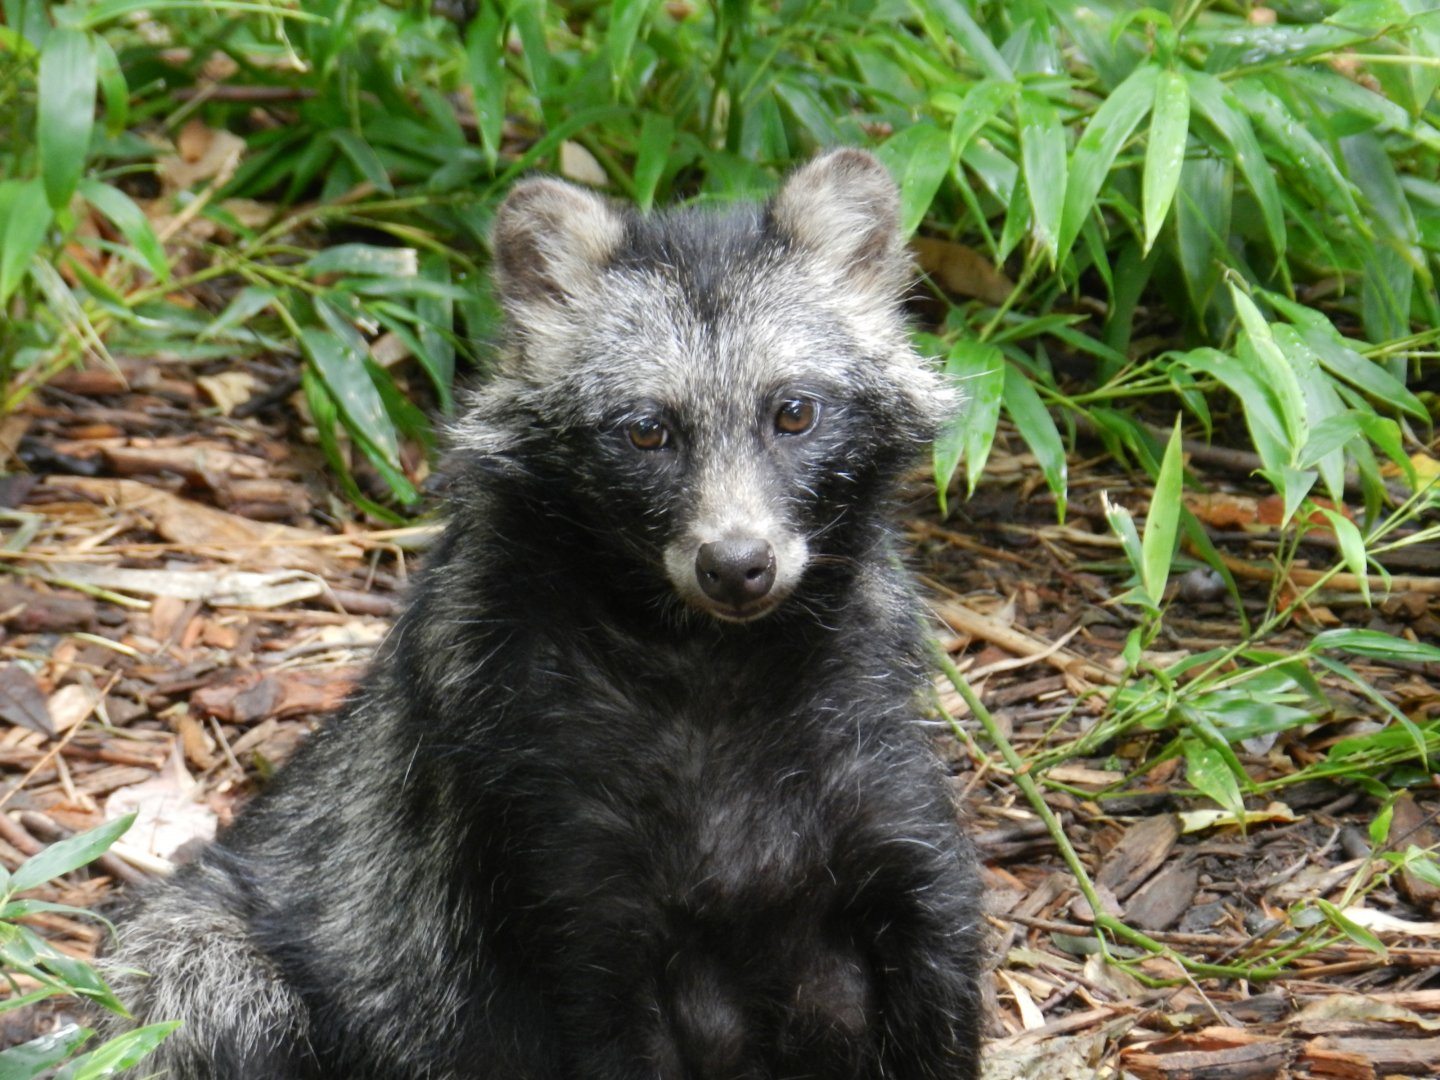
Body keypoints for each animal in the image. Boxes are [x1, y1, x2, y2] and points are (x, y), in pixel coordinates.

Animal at [107, 148, 983, 1079]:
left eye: (795, 412)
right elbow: (595, 1014)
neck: (714, 659)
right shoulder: (545, 819)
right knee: (198, 991)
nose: (738, 565)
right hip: (219, 951)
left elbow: (938, 973)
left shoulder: (874, 771)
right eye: (646, 431)